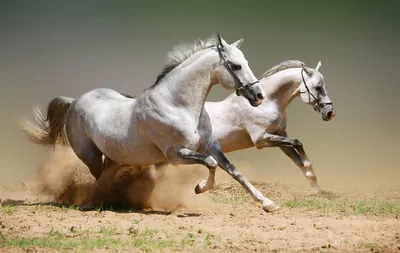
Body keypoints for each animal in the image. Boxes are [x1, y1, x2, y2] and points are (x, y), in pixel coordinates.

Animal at [24, 35, 284, 212]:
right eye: (236, 65)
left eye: (245, 62)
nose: (259, 96)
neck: (177, 104)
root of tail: (74, 101)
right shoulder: (176, 154)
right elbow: (210, 164)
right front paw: (200, 187)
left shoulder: (211, 146)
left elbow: (234, 171)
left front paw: (267, 203)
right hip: (90, 156)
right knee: (99, 180)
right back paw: (101, 201)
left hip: (114, 156)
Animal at [206, 59, 334, 192]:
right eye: (318, 87)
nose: (330, 113)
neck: (266, 103)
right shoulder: (261, 140)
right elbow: (297, 142)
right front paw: (310, 169)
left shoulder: (280, 135)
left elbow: (297, 159)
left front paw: (317, 188)